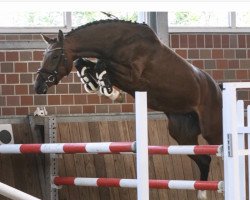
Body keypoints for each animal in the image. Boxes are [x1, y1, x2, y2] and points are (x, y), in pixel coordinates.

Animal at [33, 19, 223, 198]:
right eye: (44, 56)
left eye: (55, 57)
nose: (38, 86)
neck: (119, 42)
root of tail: (217, 88)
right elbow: (85, 62)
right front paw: (98, 85)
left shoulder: (133, 76)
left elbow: (102, 64)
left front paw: (109, 91)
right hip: (181, 133)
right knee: (204, 159)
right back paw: (201, 192)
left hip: (211, 130)